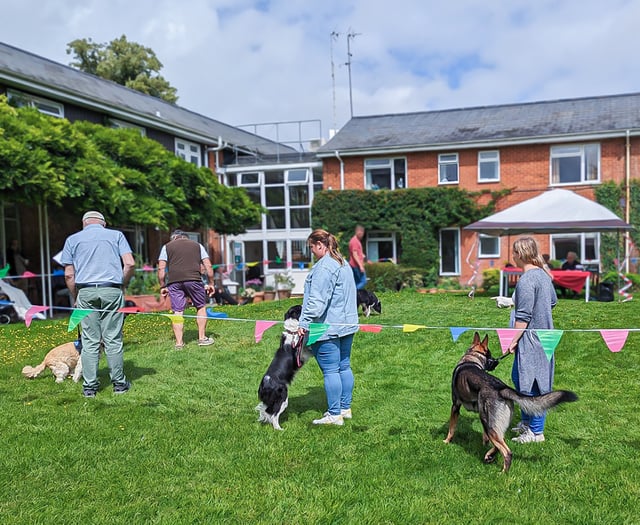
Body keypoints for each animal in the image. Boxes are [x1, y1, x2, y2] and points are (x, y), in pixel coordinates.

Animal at [255, 302, 310, 430]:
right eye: (300, 308)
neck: (292, 332)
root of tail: (265, 384)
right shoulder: (300, 353)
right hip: (283, 398)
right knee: (274, 415)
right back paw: (279, 429)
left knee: (268, 411)